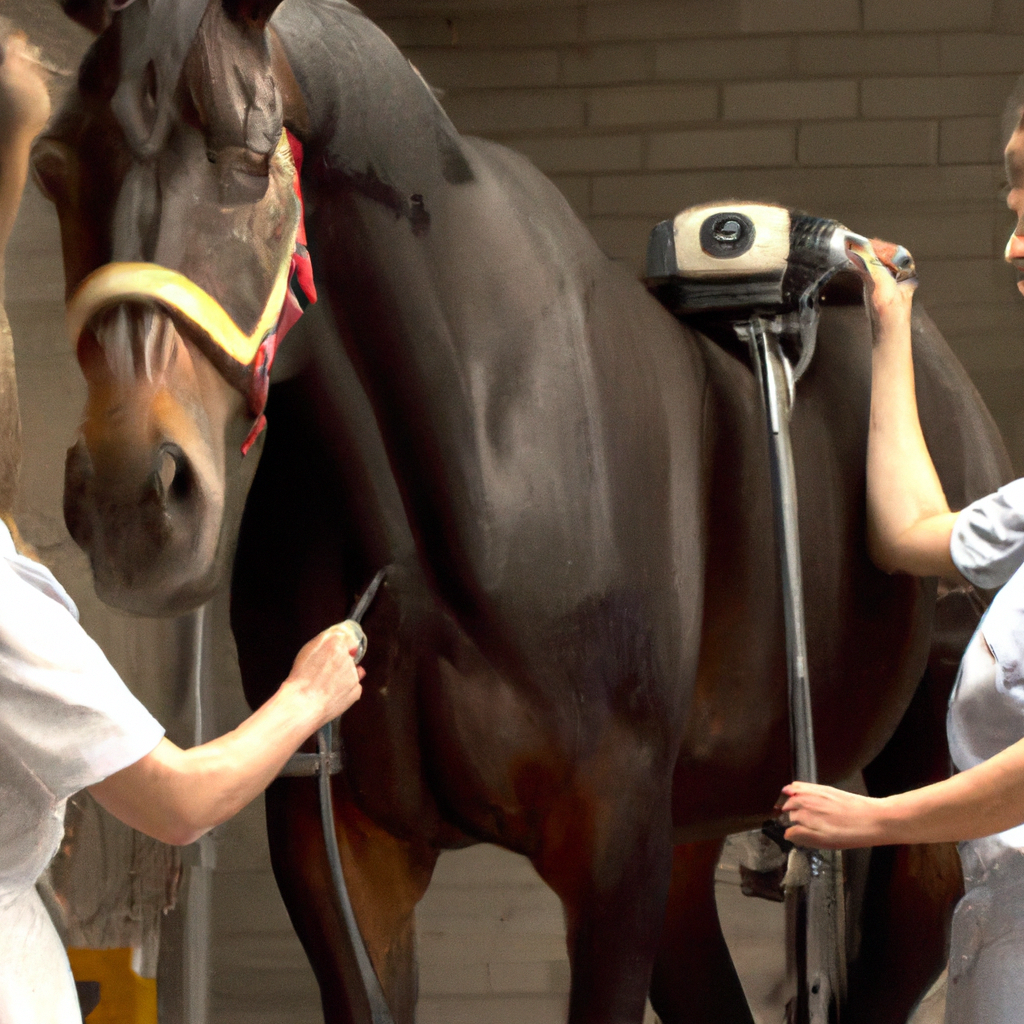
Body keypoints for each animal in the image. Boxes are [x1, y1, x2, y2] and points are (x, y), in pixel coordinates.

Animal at [37, 2, 1007, 1024]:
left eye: (251, 162)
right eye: (53, 164)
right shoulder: (342, 852)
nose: (132, 502)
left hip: (918, 802)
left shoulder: (615, 851)